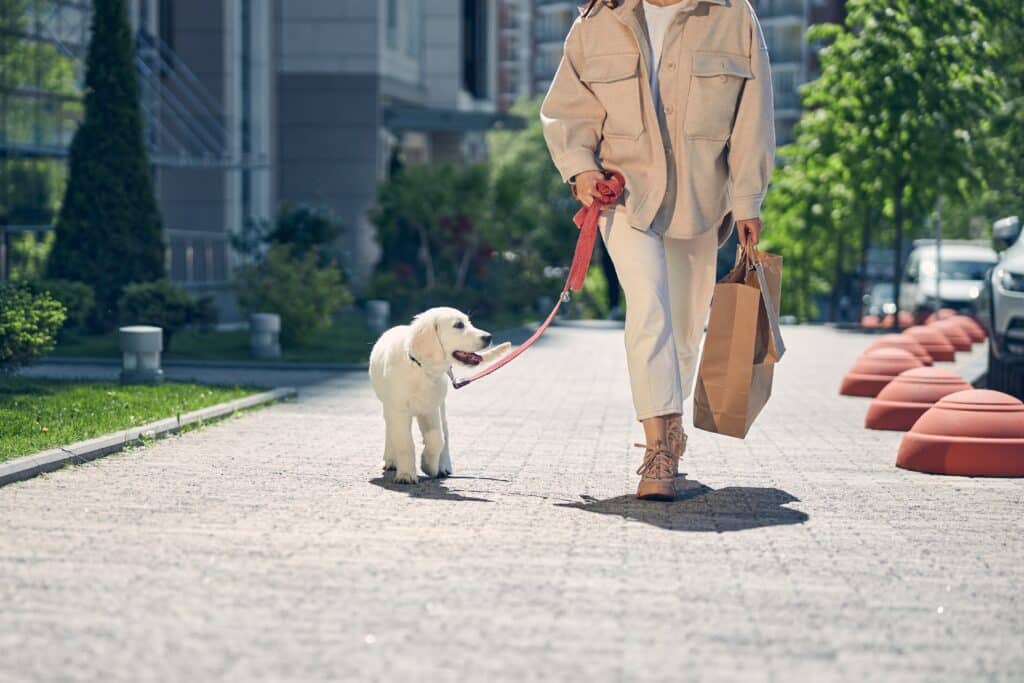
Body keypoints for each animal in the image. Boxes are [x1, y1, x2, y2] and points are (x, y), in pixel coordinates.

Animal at [368, 307, 512, 483]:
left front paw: (428, 465)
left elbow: (437, 437)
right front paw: (406, 475)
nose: (488, 337)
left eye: (469, 322)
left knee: (446, 434)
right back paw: (391, 460)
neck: (422, 368)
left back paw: (443, 466)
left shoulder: (431, 407)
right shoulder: (398, 409)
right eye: (459, 325)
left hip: (441, 407)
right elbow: (404, 442)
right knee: (390, 430)